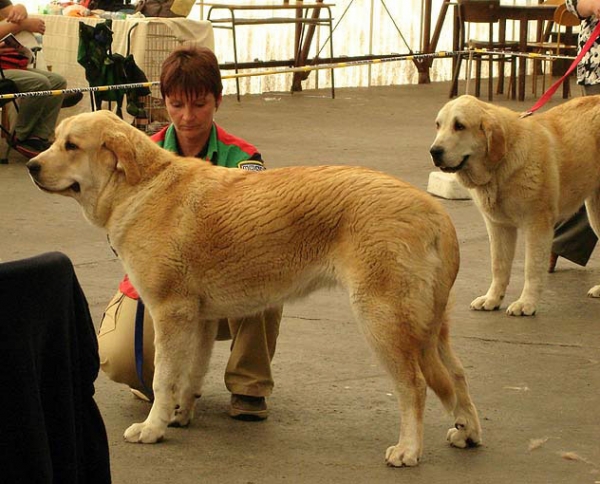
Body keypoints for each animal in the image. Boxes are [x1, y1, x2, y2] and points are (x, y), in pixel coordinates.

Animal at [27, 108, 482, 466]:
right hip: (429, 327)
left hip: (383, 321)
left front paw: (154, 428)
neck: (141, 187)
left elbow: (162, 379)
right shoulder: (198, 319)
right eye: (55, 141)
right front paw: (179, 415)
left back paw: (408, 450)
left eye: (71, 145)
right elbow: (189, 374)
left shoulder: (170, 312)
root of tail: (436, 213)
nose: (31, 166)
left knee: (415, 386)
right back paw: (467, 431)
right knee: (457, 375)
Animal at [428, 94, 600, 316]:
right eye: (438, 125)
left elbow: (532, 267)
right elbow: (499, 266)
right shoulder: (498, 226)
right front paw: (492, 299)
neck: (502, 164)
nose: (434, 151)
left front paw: (526, 303)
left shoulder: (537, 225)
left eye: (459, 126)